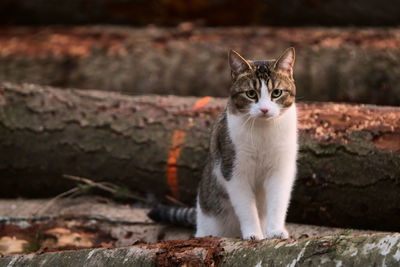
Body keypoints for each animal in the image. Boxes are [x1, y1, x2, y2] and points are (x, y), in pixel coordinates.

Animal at [195, 48, 296, 241]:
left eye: (277, 93)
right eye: (251, 94)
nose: (264, 109)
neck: (263, 130)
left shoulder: (280, 169)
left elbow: (278, 201)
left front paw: (275, 231)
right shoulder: (234, 171)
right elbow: (246, 208)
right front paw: (254, 234)